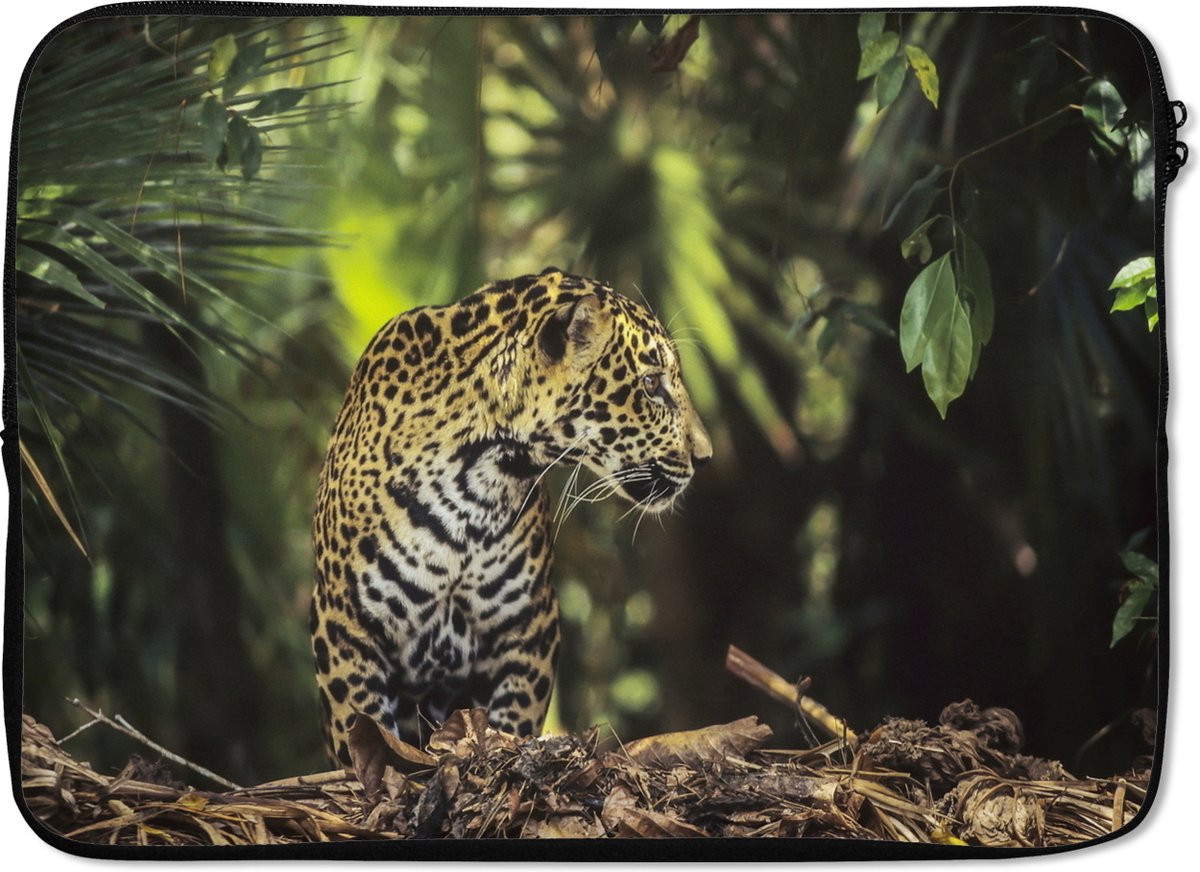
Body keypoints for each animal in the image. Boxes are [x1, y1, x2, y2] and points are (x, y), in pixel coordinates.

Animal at [310, 267, 711, 765]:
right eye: (652, 384)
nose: (705, 456)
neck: (479, 474)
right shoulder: (346, 629)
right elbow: (360, 729)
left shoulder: (530, 626)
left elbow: (513, 718)